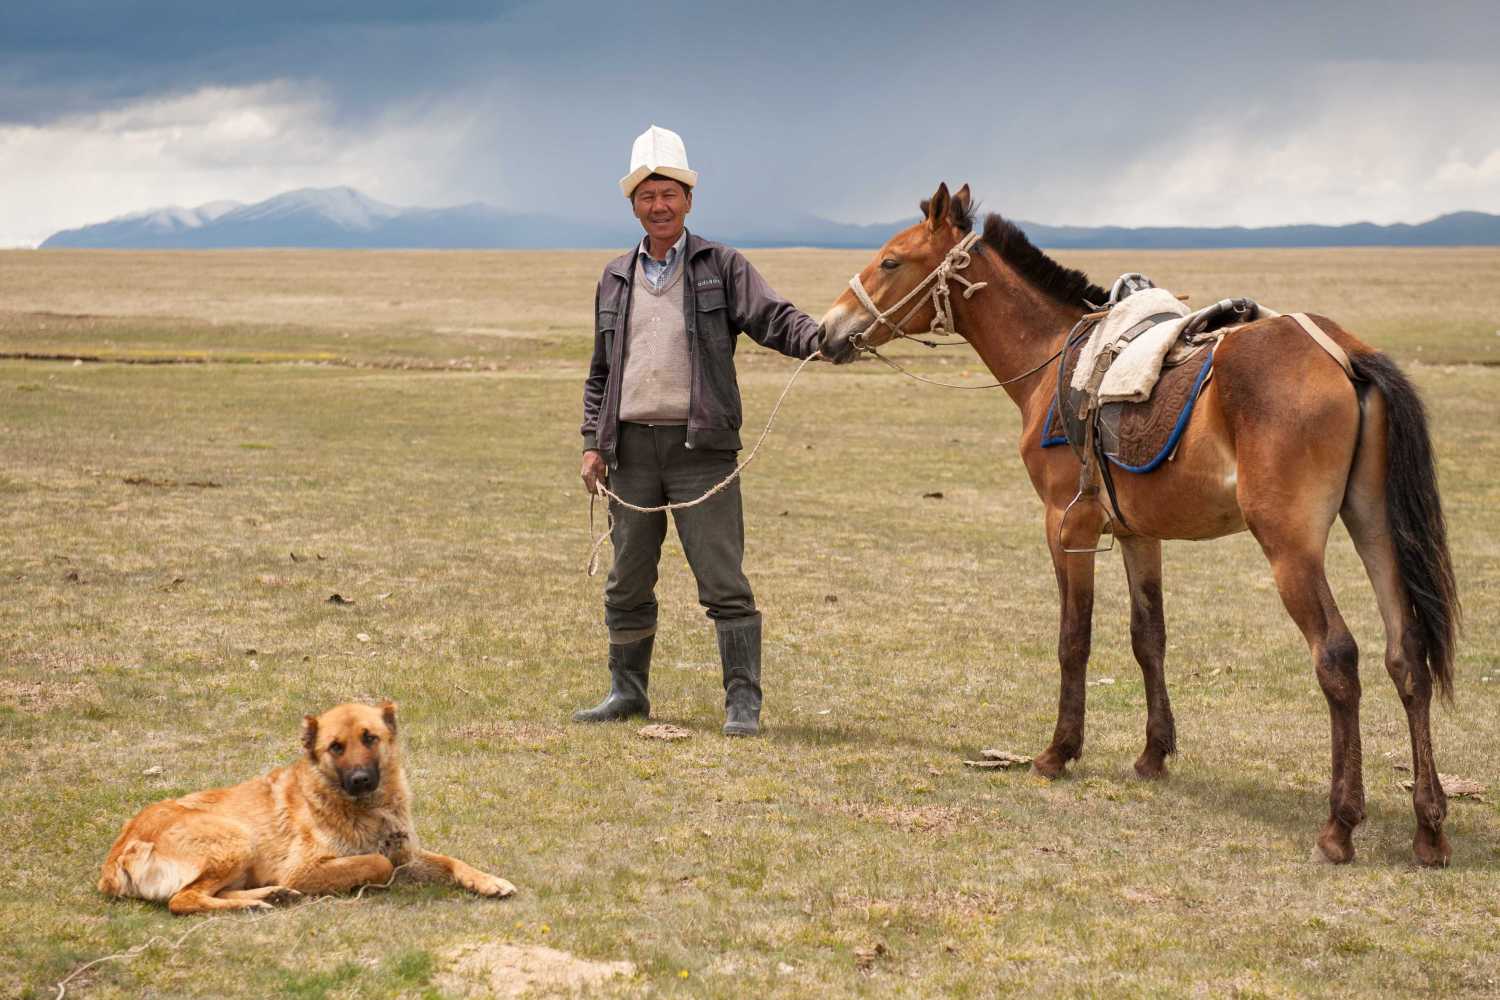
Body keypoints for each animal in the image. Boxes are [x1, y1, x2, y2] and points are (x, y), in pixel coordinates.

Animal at [816, 182, 1460, 867]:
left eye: (890, 261)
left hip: (1291, 545)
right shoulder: (1136, 533)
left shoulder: (1066, 526)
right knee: (1407, 655)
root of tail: (1347, 356)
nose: (828, 330)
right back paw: (1429, 829)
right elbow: (1148, 637)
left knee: (1337, 655)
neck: (1049, 358)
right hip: (1375, 527)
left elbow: (1074, 639)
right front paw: (1153, 754)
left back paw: (1340, 825)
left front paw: (1058, 752)